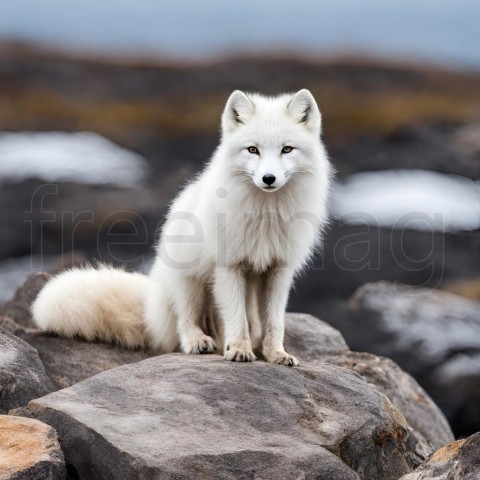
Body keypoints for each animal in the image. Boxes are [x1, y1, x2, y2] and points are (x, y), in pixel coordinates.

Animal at [32, 90, 330, 366]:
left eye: (287, 149)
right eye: (252, 149)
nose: (269, 178)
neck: (266, 214)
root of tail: (150, 305)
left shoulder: (280, 270)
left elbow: (274, 322)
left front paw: (276, 354)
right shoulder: (228, 266)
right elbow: (236, 317)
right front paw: (239, 349)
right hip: (190, 282)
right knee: (183, 323)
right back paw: (200, 343)